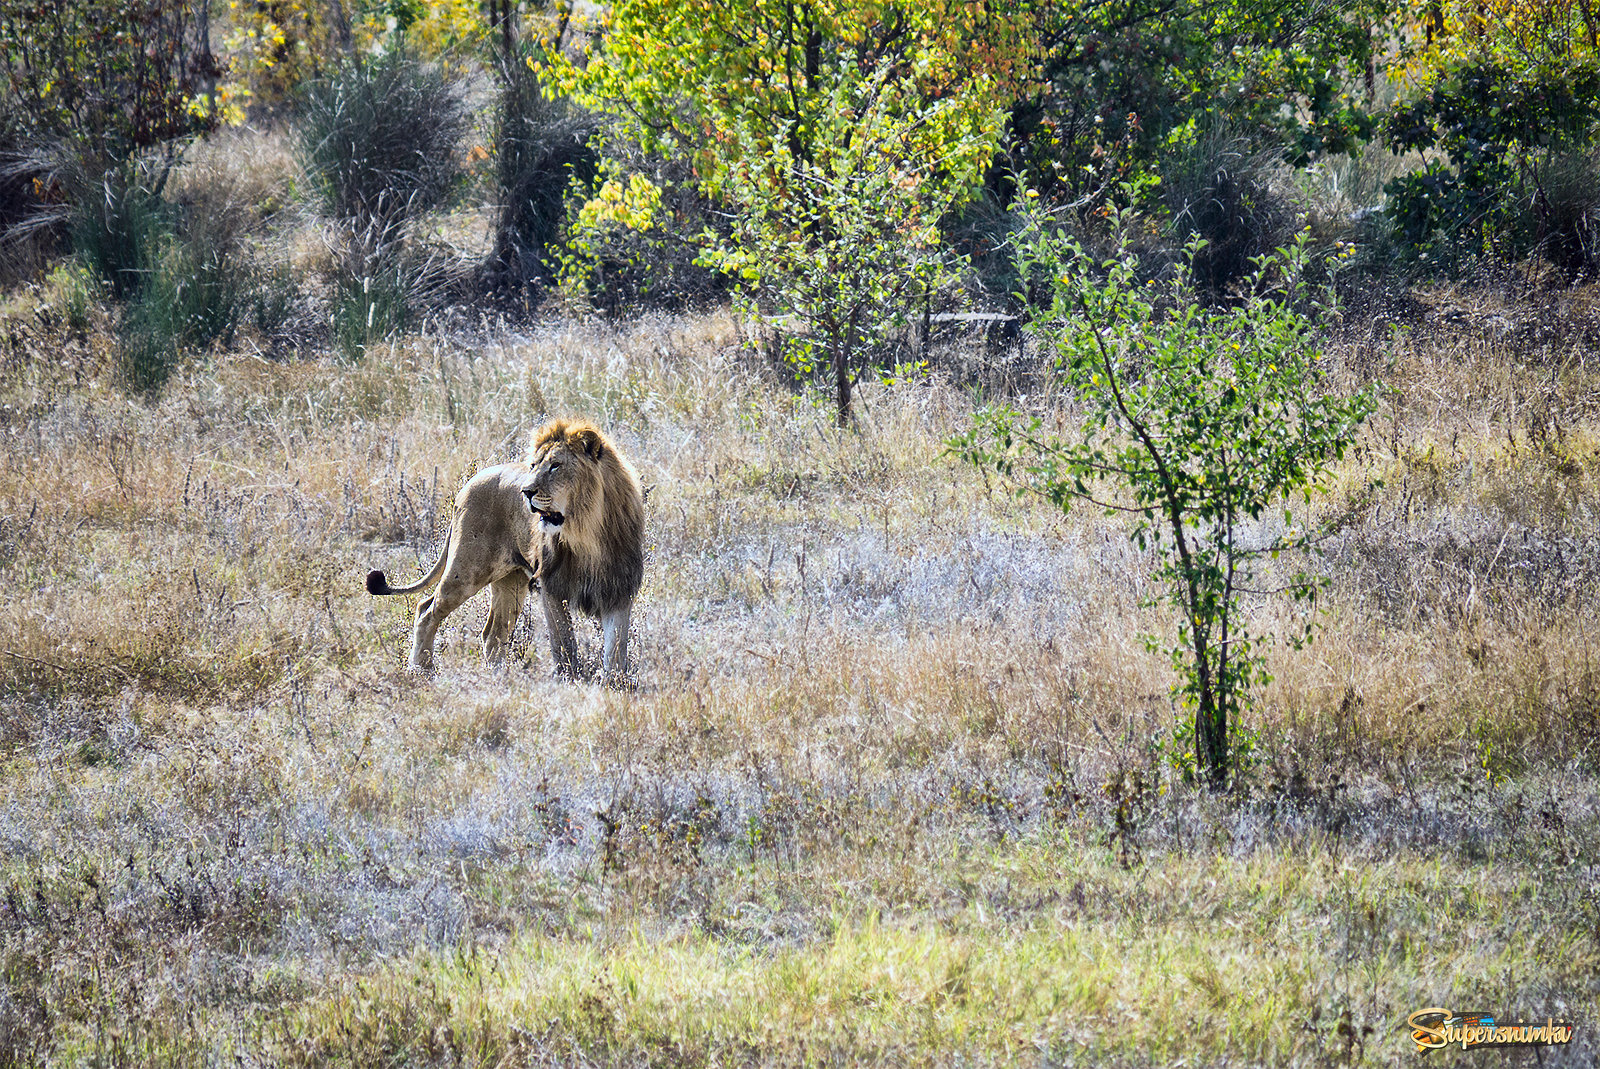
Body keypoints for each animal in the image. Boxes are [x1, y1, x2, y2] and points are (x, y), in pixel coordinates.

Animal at [366, 416, 646, 675]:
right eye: (533, 465)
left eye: (556, 466)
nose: (526, 492)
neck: (587, 533)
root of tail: (468, 483)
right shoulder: (551, 585)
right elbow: (564, 642)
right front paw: (569, 677)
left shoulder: (619, 588)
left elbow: (616, 648)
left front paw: (614, 682)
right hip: (466, 571)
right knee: (426, 610)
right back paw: (420, 669)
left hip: (510, 581)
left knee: (493, 633)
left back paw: (497, 676)